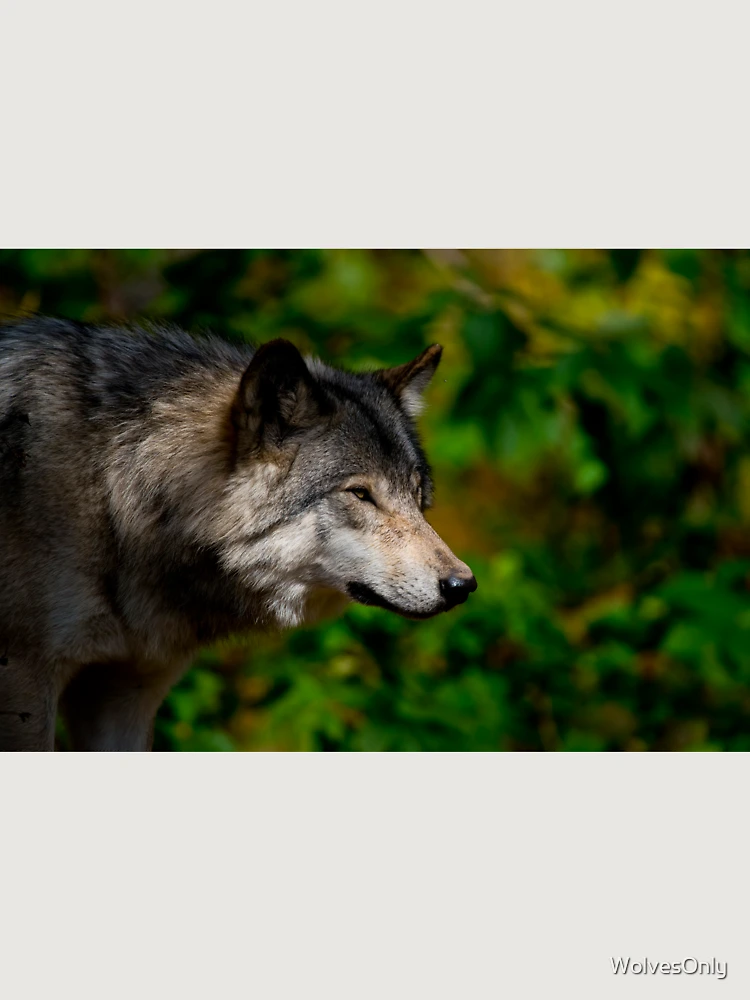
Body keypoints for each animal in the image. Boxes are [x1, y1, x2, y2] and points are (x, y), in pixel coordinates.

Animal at [0, 317, 477, 751]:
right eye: (360, 493)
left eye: (416, 494)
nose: (463, 585)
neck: (114, 495)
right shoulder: (25, 682)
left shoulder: (123, 694)